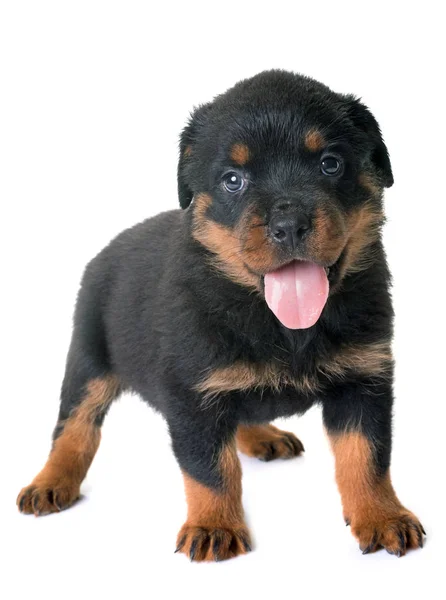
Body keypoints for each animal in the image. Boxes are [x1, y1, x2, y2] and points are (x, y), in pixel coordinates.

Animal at [16, 71, 426, 564]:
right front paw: (214, 526)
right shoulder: (192, 392)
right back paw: (51, 482)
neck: (282, 325)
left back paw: (261, 435)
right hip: (88, 356)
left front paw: (381, 515)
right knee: (74, 426)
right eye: (233, 180)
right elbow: (210, 468)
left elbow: (366, 456)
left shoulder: (364, 378)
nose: (289, 226)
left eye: (330, 164)